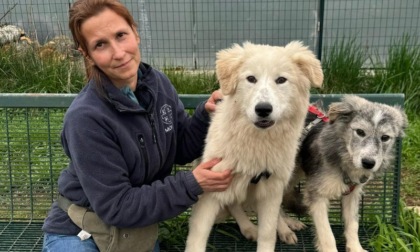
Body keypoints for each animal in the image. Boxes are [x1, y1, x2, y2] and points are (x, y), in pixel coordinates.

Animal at [185, 40, 324, 251]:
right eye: (251, 79)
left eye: (281, 80)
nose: (263, 109)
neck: (257, 142)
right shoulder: (212, 187)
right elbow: (198, 236)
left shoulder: (271, 190)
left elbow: (268, 233)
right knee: (235, 204)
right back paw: (250, 227)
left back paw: (284, 226)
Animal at [288, 95, 406, 252]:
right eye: (360, 132)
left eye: (385, 137)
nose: (368, 163)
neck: (343, 155)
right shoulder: (317, 195)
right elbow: (327, 234)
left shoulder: (353, 193)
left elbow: (353, 225)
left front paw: (355, 248)